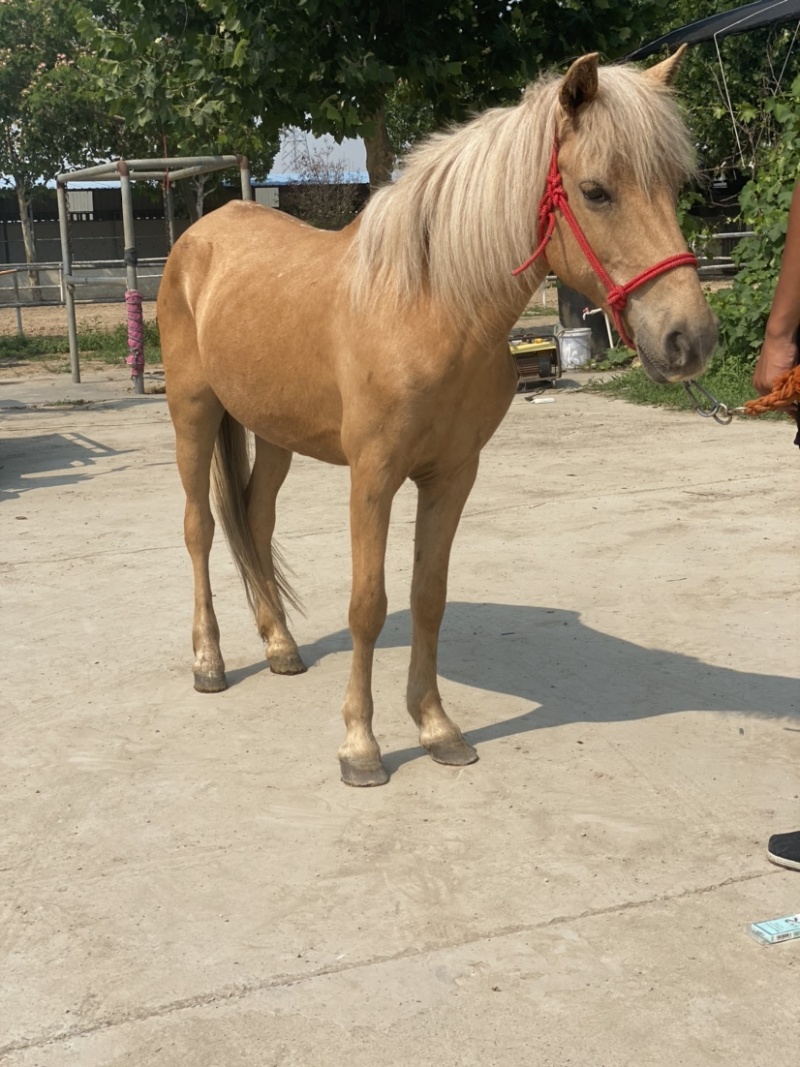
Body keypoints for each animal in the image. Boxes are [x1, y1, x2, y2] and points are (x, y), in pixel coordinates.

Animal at [158, 48, 718, 787]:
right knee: (199, 528)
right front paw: (361, 745)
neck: (429, 305)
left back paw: (280, 646)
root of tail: (200, 234)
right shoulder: (372, 476)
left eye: (676, 185)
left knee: (254, 519)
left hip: (274, 432)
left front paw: (436, 727)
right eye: (596, 191)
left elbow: (429, 595)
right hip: (193, 414)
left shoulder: (451, 475)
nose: (691, 340)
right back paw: (210, 662)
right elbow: (368, 604)